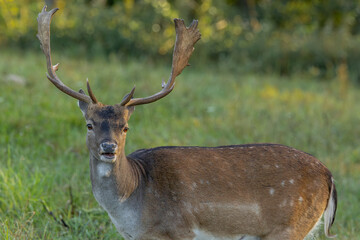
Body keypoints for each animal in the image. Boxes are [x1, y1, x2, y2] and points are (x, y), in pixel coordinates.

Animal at [38, 6, 336, 240]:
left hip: (288, 227)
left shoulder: (181, 230)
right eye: (89, 124)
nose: (109, 148)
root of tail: (330, 176)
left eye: (125, 127)